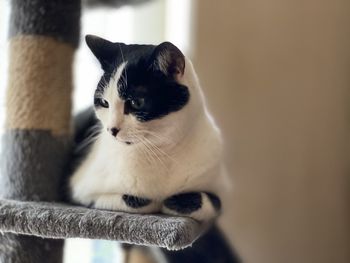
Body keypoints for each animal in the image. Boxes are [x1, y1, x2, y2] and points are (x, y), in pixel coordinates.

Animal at [68, 34, 228, 222]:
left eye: (136, 103)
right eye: (104, 102)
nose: (111, 129)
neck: (162, 151)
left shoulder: (218, 187)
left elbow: (212, 204)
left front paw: (175, 201)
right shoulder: (79, 189)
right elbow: (137, 200)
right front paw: (157, 201)